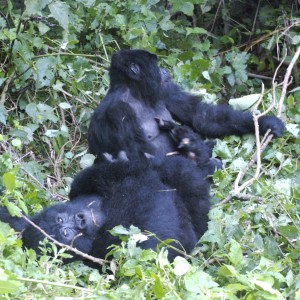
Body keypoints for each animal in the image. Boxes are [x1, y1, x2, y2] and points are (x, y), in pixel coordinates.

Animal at [0, 127, 216, 268]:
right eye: (66, 234)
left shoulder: (82, 184)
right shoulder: (105, 254)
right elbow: (153, 245)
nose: (80, 220)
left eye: (61, 219)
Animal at [88, 49, 284, 163]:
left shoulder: (163, 90)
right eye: (155, 64)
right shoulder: (118, 111)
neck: (134, 92)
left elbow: (201, 116)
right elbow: (143, 156)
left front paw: (266, 122)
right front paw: (195, 147)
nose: (164, 71)